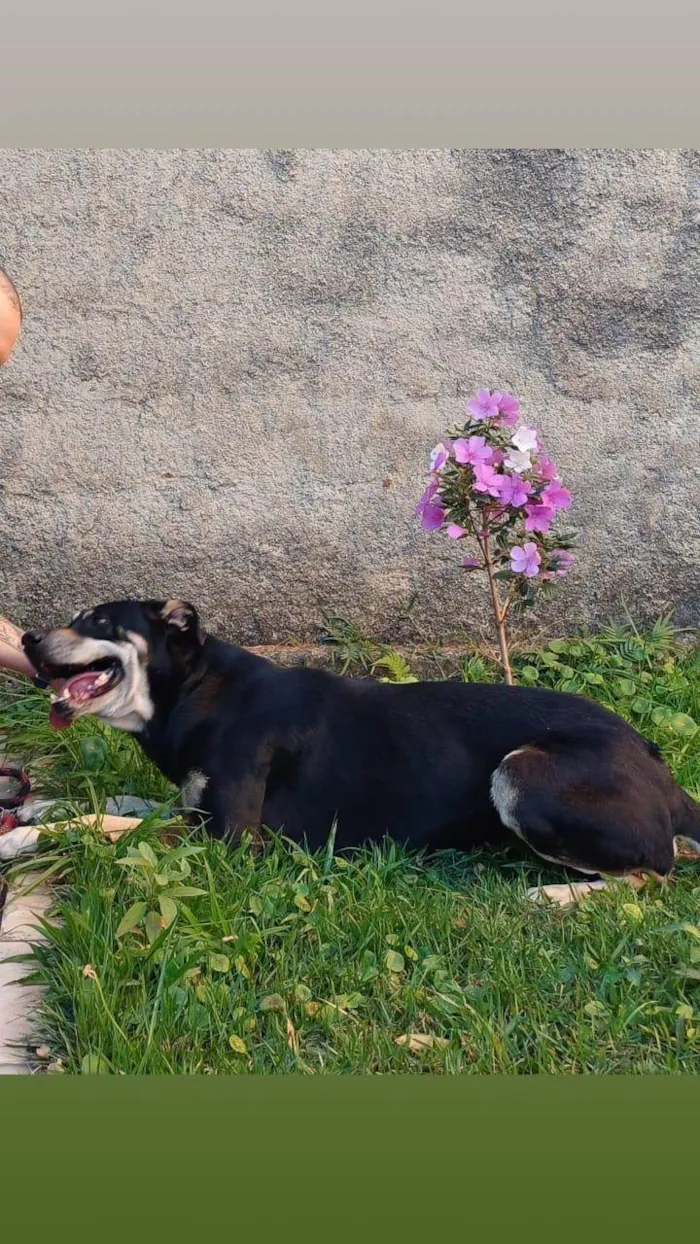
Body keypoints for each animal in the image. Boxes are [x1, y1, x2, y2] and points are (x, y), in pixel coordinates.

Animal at [10, 594, 700, 900]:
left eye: (99, 621)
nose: (27, 638)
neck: (198, 692)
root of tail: (663, 774)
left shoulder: (232, 837)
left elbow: (107, 822)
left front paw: (22, 837)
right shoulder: (195, 806)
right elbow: (119, 804)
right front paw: (38, 808)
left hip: (521, 774)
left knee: (654, 874)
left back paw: (552, 898)